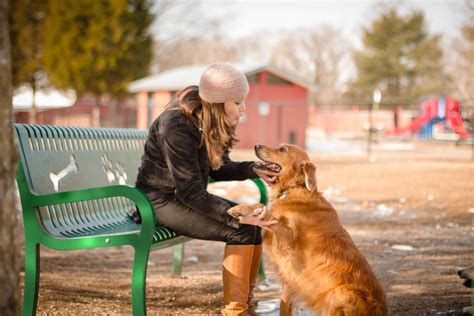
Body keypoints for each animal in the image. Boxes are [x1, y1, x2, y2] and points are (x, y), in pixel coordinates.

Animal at [228, 144, 386, 314]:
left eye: (283, 149)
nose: (256, 145)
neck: (293, 188)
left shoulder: (289, 241)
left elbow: (266, 210)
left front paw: (241, 208)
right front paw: (239, 209)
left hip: (340, 293)